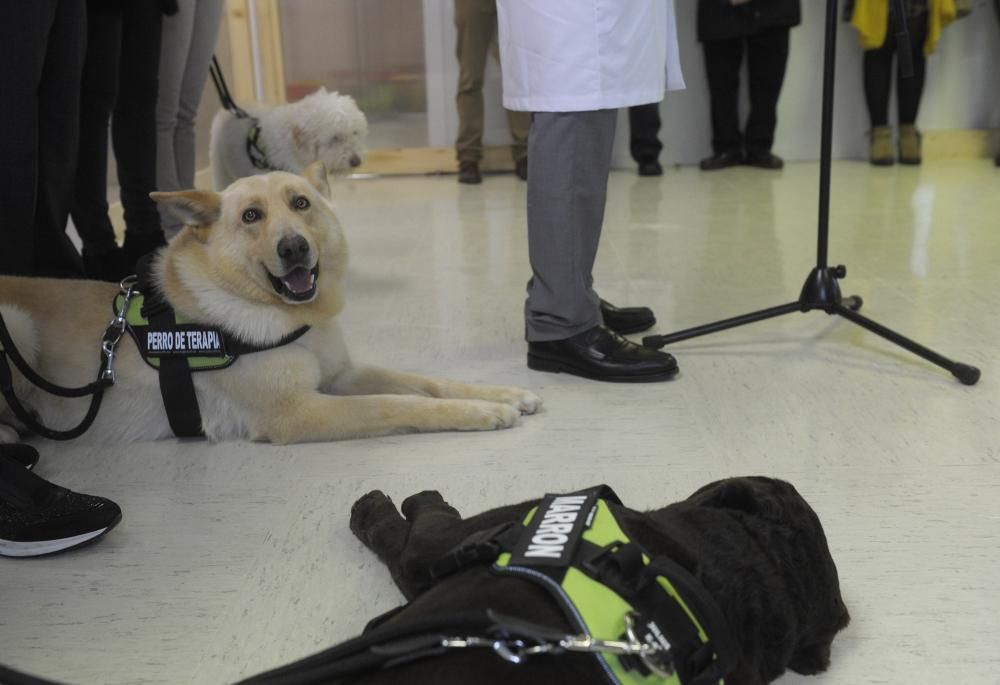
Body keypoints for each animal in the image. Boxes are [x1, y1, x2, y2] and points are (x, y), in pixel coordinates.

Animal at [0, 164, 544, 444]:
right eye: (251, 216)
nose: (294, 248)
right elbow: (398, 403)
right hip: (16, 326)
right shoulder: (299, 413)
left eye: (301, 203)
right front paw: (478, 412)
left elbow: (424, 381)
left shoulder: (340, 374)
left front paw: (499, 393)